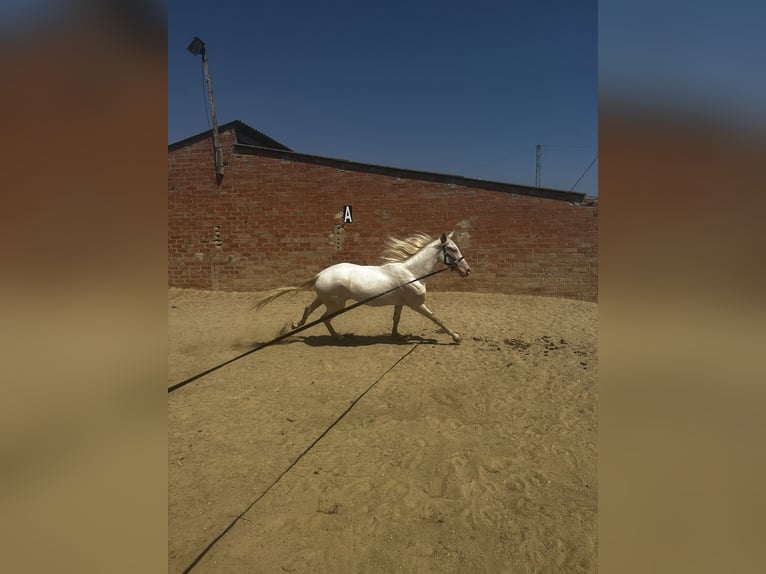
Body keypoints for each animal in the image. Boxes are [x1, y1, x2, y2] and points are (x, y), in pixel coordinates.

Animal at [252, 232, 472, 342]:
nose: (467, 270)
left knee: (309, 309)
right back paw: (338, 337)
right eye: (453, 249)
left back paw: (296, 325)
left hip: (325, 300)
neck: (412, 274)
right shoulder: (417, 305)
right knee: (324, 318)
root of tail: (320, 274)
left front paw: (396, 335)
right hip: (336, 305)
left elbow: (396, 319)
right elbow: (437, 318)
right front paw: (456, 336)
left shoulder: (400, 303)